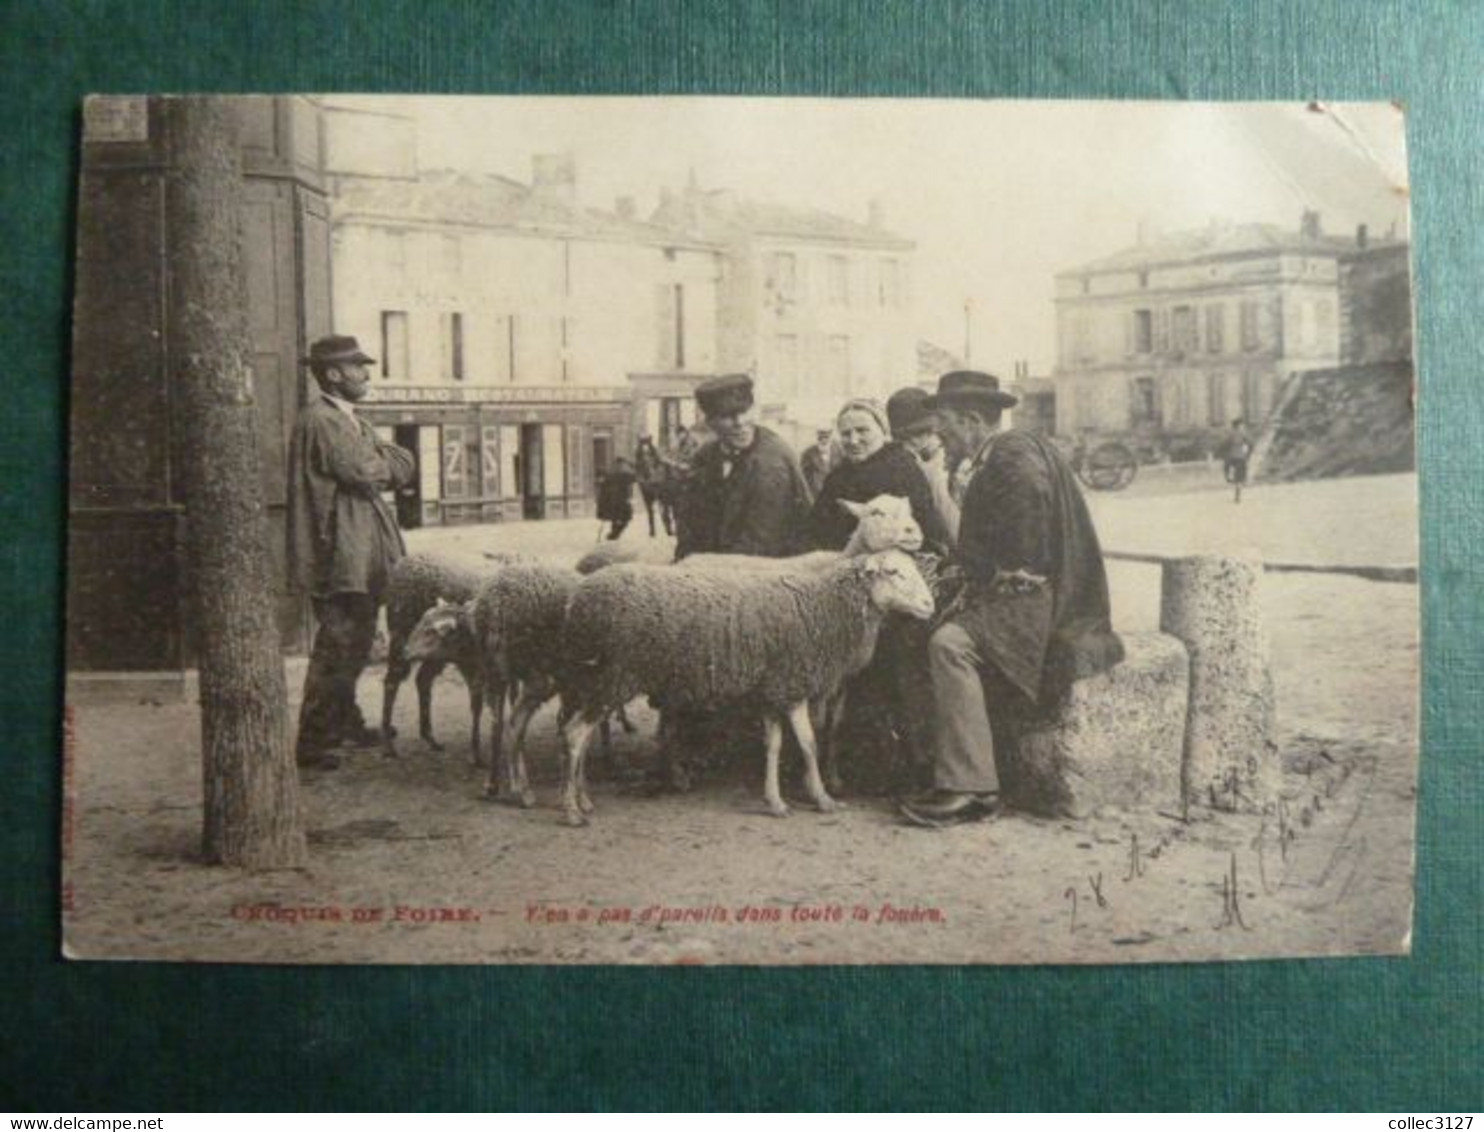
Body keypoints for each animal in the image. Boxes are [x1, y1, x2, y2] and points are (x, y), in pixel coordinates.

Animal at [557, 545, 937, 824]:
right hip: (613, 675)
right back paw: (573, 810)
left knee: (582, 735)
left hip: (594, 678)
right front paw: (822, 797)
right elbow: (809, 743)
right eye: (893, 572)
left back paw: (585, 798)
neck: (820, 606)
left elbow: (773, 746)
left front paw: (775, 801)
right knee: (575, 734)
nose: (929, 605)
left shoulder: (773, 692)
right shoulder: (792, 685)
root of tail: (577, 600)